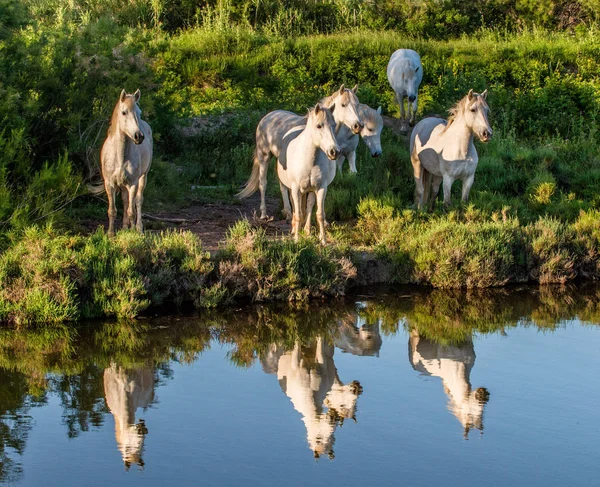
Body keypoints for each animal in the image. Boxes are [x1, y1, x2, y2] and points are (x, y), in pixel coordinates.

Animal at [91, 91, 154, 238]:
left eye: (139, 112)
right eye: (124, 112)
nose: (139, 136)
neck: (120, 155)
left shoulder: (133, 183)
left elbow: (132, 211)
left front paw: (133, 233)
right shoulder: (110, 184)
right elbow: (112, 210)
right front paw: (110, 234)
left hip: (143, 177)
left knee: (138, 201)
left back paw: (138, 228)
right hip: (123, 184)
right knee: (125, 201)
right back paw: (125, 227)